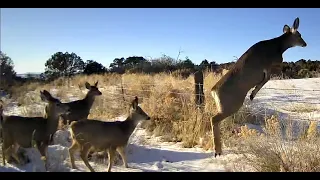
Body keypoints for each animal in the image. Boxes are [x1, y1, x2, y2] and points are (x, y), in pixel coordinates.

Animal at [210, 17, 308, 157]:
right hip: (231, 105)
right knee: (213, 119)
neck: (278, 47)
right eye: (299, 35)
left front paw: (252, 94)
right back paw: (217, 150)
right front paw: (252, 94)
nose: (305, 44)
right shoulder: (269, 65)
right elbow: (267, 78)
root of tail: (213, 91)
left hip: (225, 106)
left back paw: (218, 150)